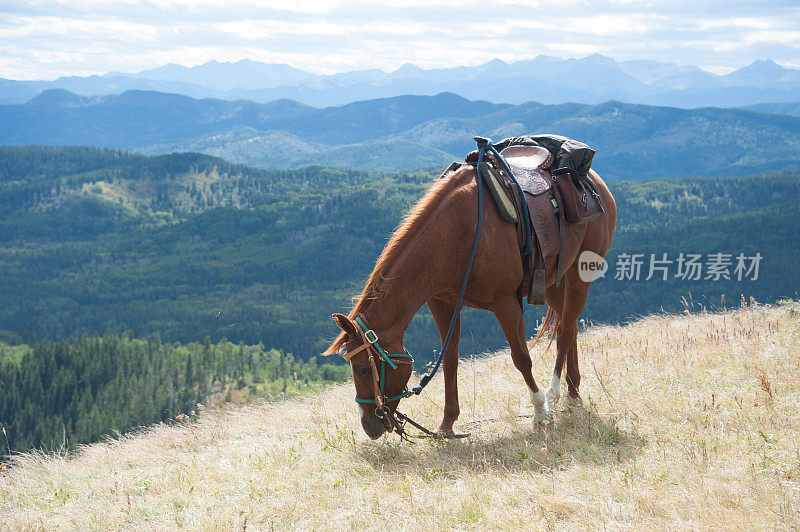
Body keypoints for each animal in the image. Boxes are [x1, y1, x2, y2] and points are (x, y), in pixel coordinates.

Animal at [322, 163, 616, 440]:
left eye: (361, 370)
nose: (369, 426)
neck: (456, 234)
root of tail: (596, 182)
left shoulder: (505, 303)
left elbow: (521, 357)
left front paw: (539, 411)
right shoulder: (442, 303)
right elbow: (450, 359)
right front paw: (447, 424)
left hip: (579, 277)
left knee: (565, 333)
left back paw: (554, 396)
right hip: (556, 280)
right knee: (570, 325)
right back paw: (573, 393)